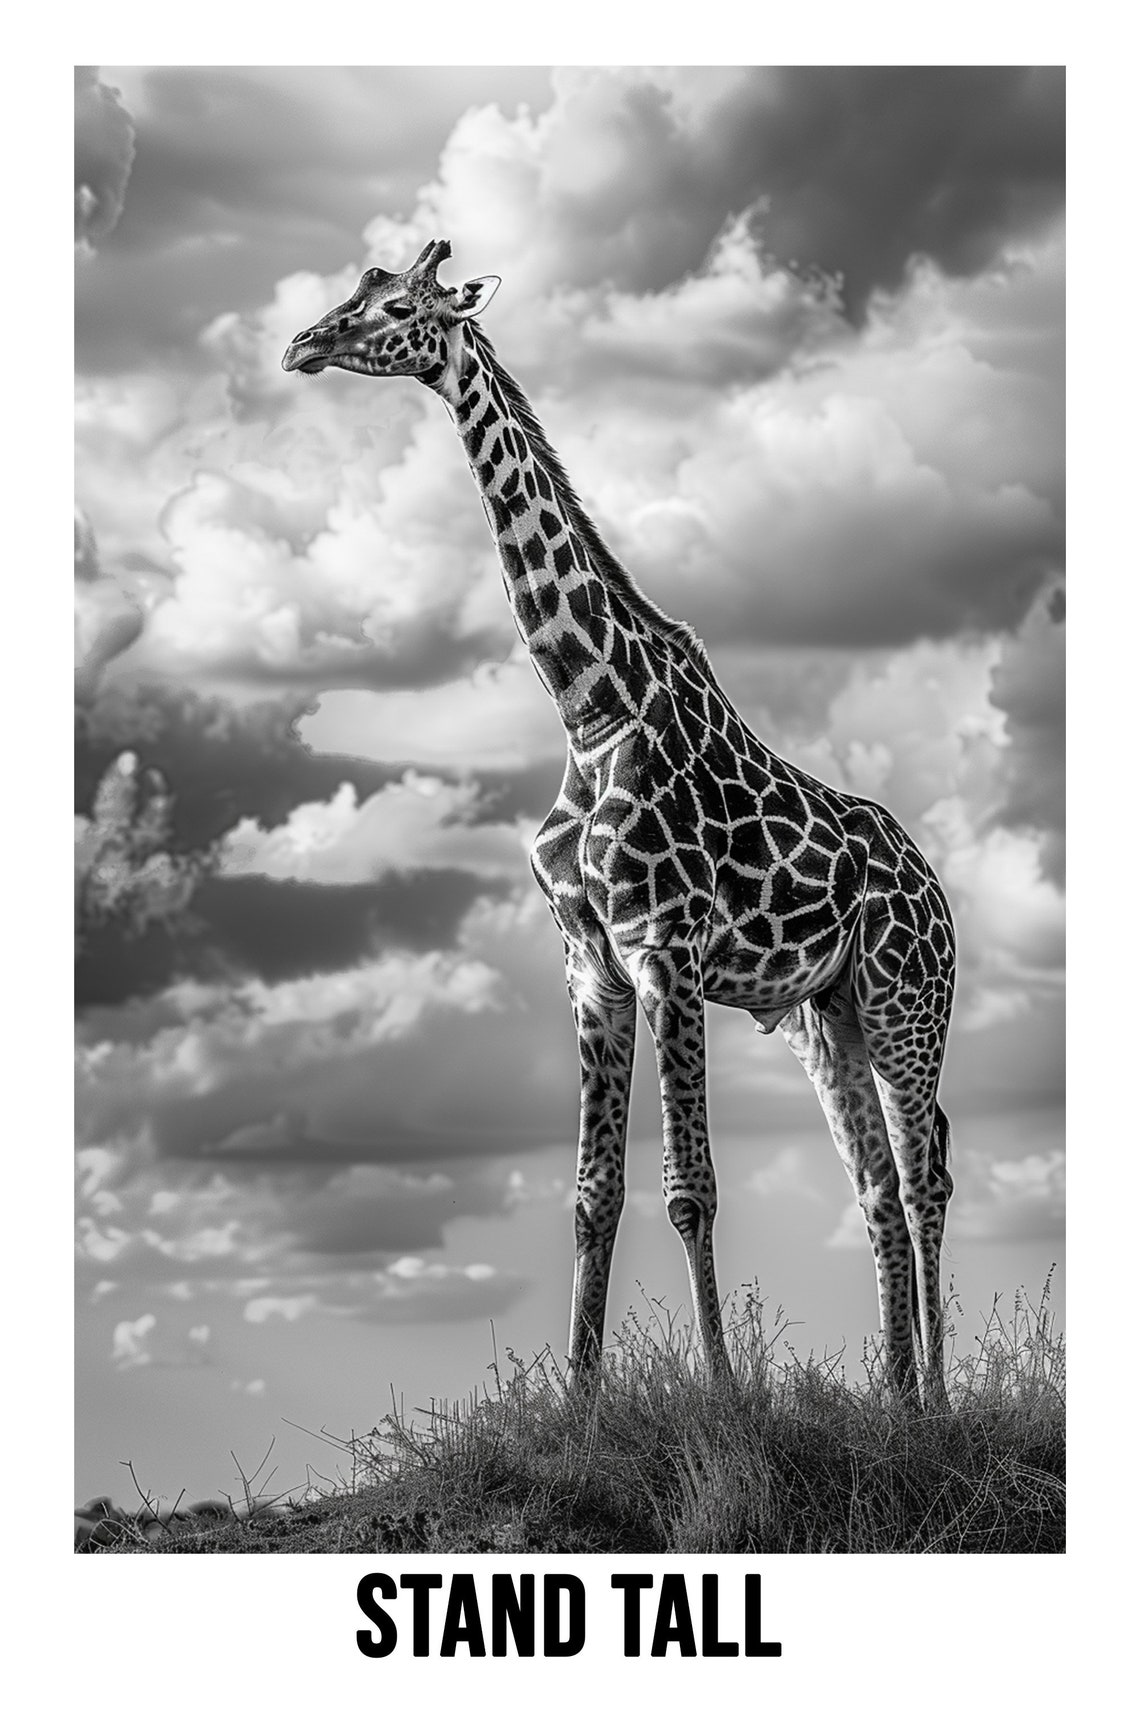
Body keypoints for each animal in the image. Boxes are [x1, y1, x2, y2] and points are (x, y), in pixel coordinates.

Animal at [283, 239, 956, 1406]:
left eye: (403, 307)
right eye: (358, 290)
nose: (302, 344)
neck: (590, 707)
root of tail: (942, 899)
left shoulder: (666, 949)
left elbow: (691, 1187)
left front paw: (728, 1396)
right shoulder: (590, 961)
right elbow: (592, 1193)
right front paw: (578, 1400)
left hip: (907, 1004)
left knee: (925, 1177)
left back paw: (940, 1405)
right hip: (830, 1017)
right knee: (877, 1185)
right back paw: (896, 1397)